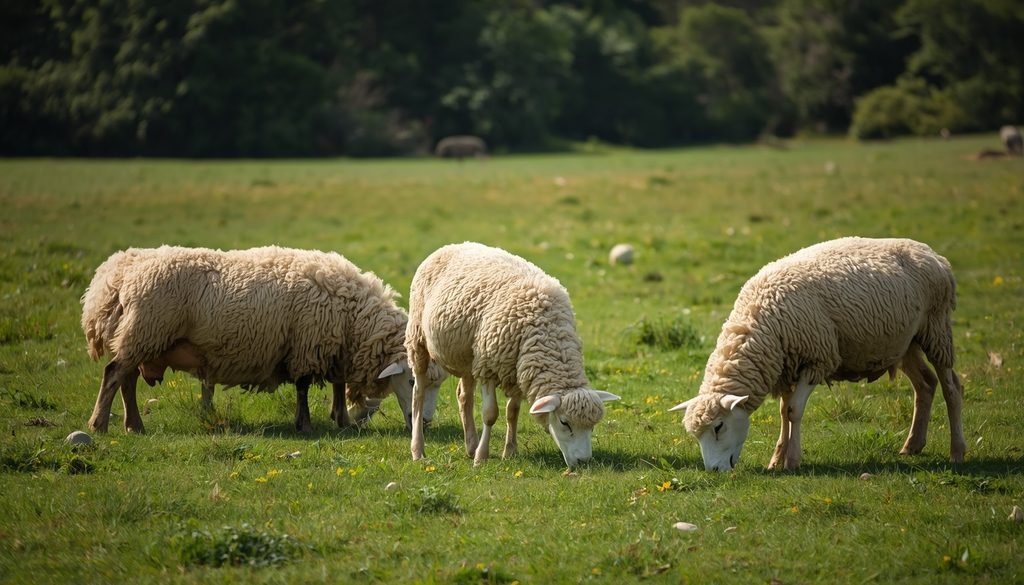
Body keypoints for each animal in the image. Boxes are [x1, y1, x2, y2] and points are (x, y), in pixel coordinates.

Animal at [81, 245, 445, 434]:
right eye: (411, 381)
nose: (424, 423)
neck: (353, 318)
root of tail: (117, 273)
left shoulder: (333, 346)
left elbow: (337, 383)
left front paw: (340, 419)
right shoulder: (305, 344)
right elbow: (302, 387)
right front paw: (304, 424)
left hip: (139, 337)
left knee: (126, 379)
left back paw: (134, 425)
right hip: (145, 330)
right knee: (114, 374)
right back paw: (99, 423)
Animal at [405, 242, 619, 467]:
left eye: (592, 427)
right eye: (564, 422)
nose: (584, 461)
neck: (547, 331)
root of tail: (452, 245)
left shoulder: (518, 369)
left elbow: (512, 412)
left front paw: (509, 452)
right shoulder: (488, 367)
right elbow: (490, 415)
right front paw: (482, 458)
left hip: (468, 357)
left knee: (464, 397)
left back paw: (471, 446)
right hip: (418, 339)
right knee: (418, 392)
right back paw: (418, 450)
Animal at [669, 237, 966, 471]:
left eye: (718, 427)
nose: (714, 470)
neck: (760, 322)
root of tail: (935, 256)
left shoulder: (818, 359)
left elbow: (793, 410)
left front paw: (792, 460)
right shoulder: (785, 365)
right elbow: (782, 412)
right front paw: (776, 459)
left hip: (936, 327)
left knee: (951, 387)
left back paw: (957, 451)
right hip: (904, 343)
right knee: (925, 384)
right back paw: (912, 445)